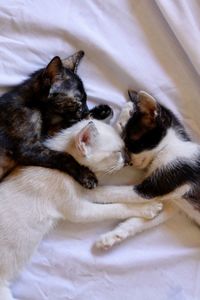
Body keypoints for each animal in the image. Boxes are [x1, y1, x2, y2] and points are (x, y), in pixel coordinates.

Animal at [0, 50, 112, 189]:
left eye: (86, 99)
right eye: (79, 101)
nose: (86, 109)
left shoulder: (48, 133)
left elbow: (71, 122)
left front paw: (100, 112)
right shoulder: (27, 148)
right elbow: (64, 156)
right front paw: (86, 174)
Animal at [0, 118, 162, 298]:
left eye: (125, 148)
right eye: (116, 152)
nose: (129, 161)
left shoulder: (88, 191)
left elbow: (115, 191)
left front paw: (150, 197)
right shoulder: (79, 210)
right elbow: (115, 208)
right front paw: (148, 209)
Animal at [96, 90, 199, 250]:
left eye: (132, 144)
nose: (128, 162)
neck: (169, 147)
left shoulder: (164, 181)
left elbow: (114, 191)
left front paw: (86, 191)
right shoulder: (173, 202)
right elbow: (144, 220)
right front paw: (112, 236)